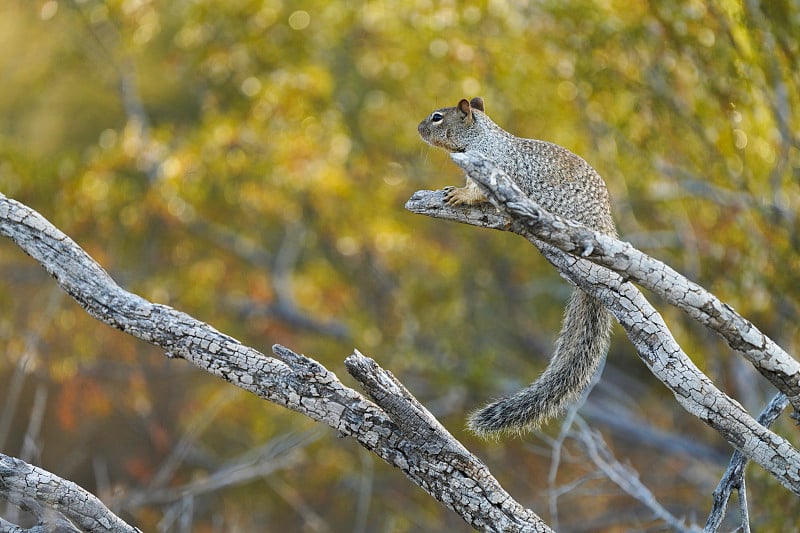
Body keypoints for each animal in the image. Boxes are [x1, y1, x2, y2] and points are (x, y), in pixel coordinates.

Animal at [416, 97, 616, 434]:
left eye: (437, 117)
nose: (418, 128)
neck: (482, 138)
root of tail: (607, 228)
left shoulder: (493, 169)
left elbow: (476, 192)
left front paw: (459, 195)